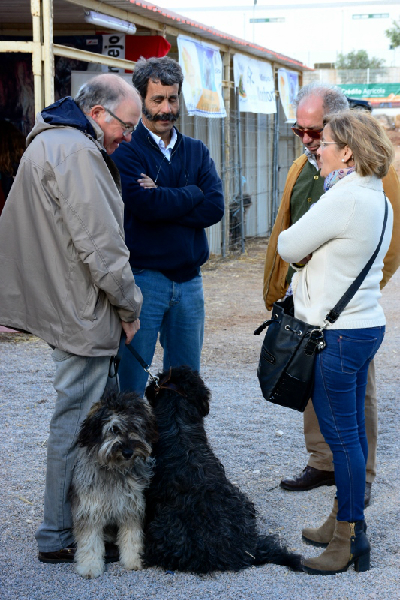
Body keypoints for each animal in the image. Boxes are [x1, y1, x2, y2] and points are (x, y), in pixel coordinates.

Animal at [69, 390, 157, 576]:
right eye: (113, 429)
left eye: (136, 427)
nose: (128, 452)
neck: (114, 470)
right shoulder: (89, 509)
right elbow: (89, 540)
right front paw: (90, 565)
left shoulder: (131, 507)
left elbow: (132, 536)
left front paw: (134, 559)